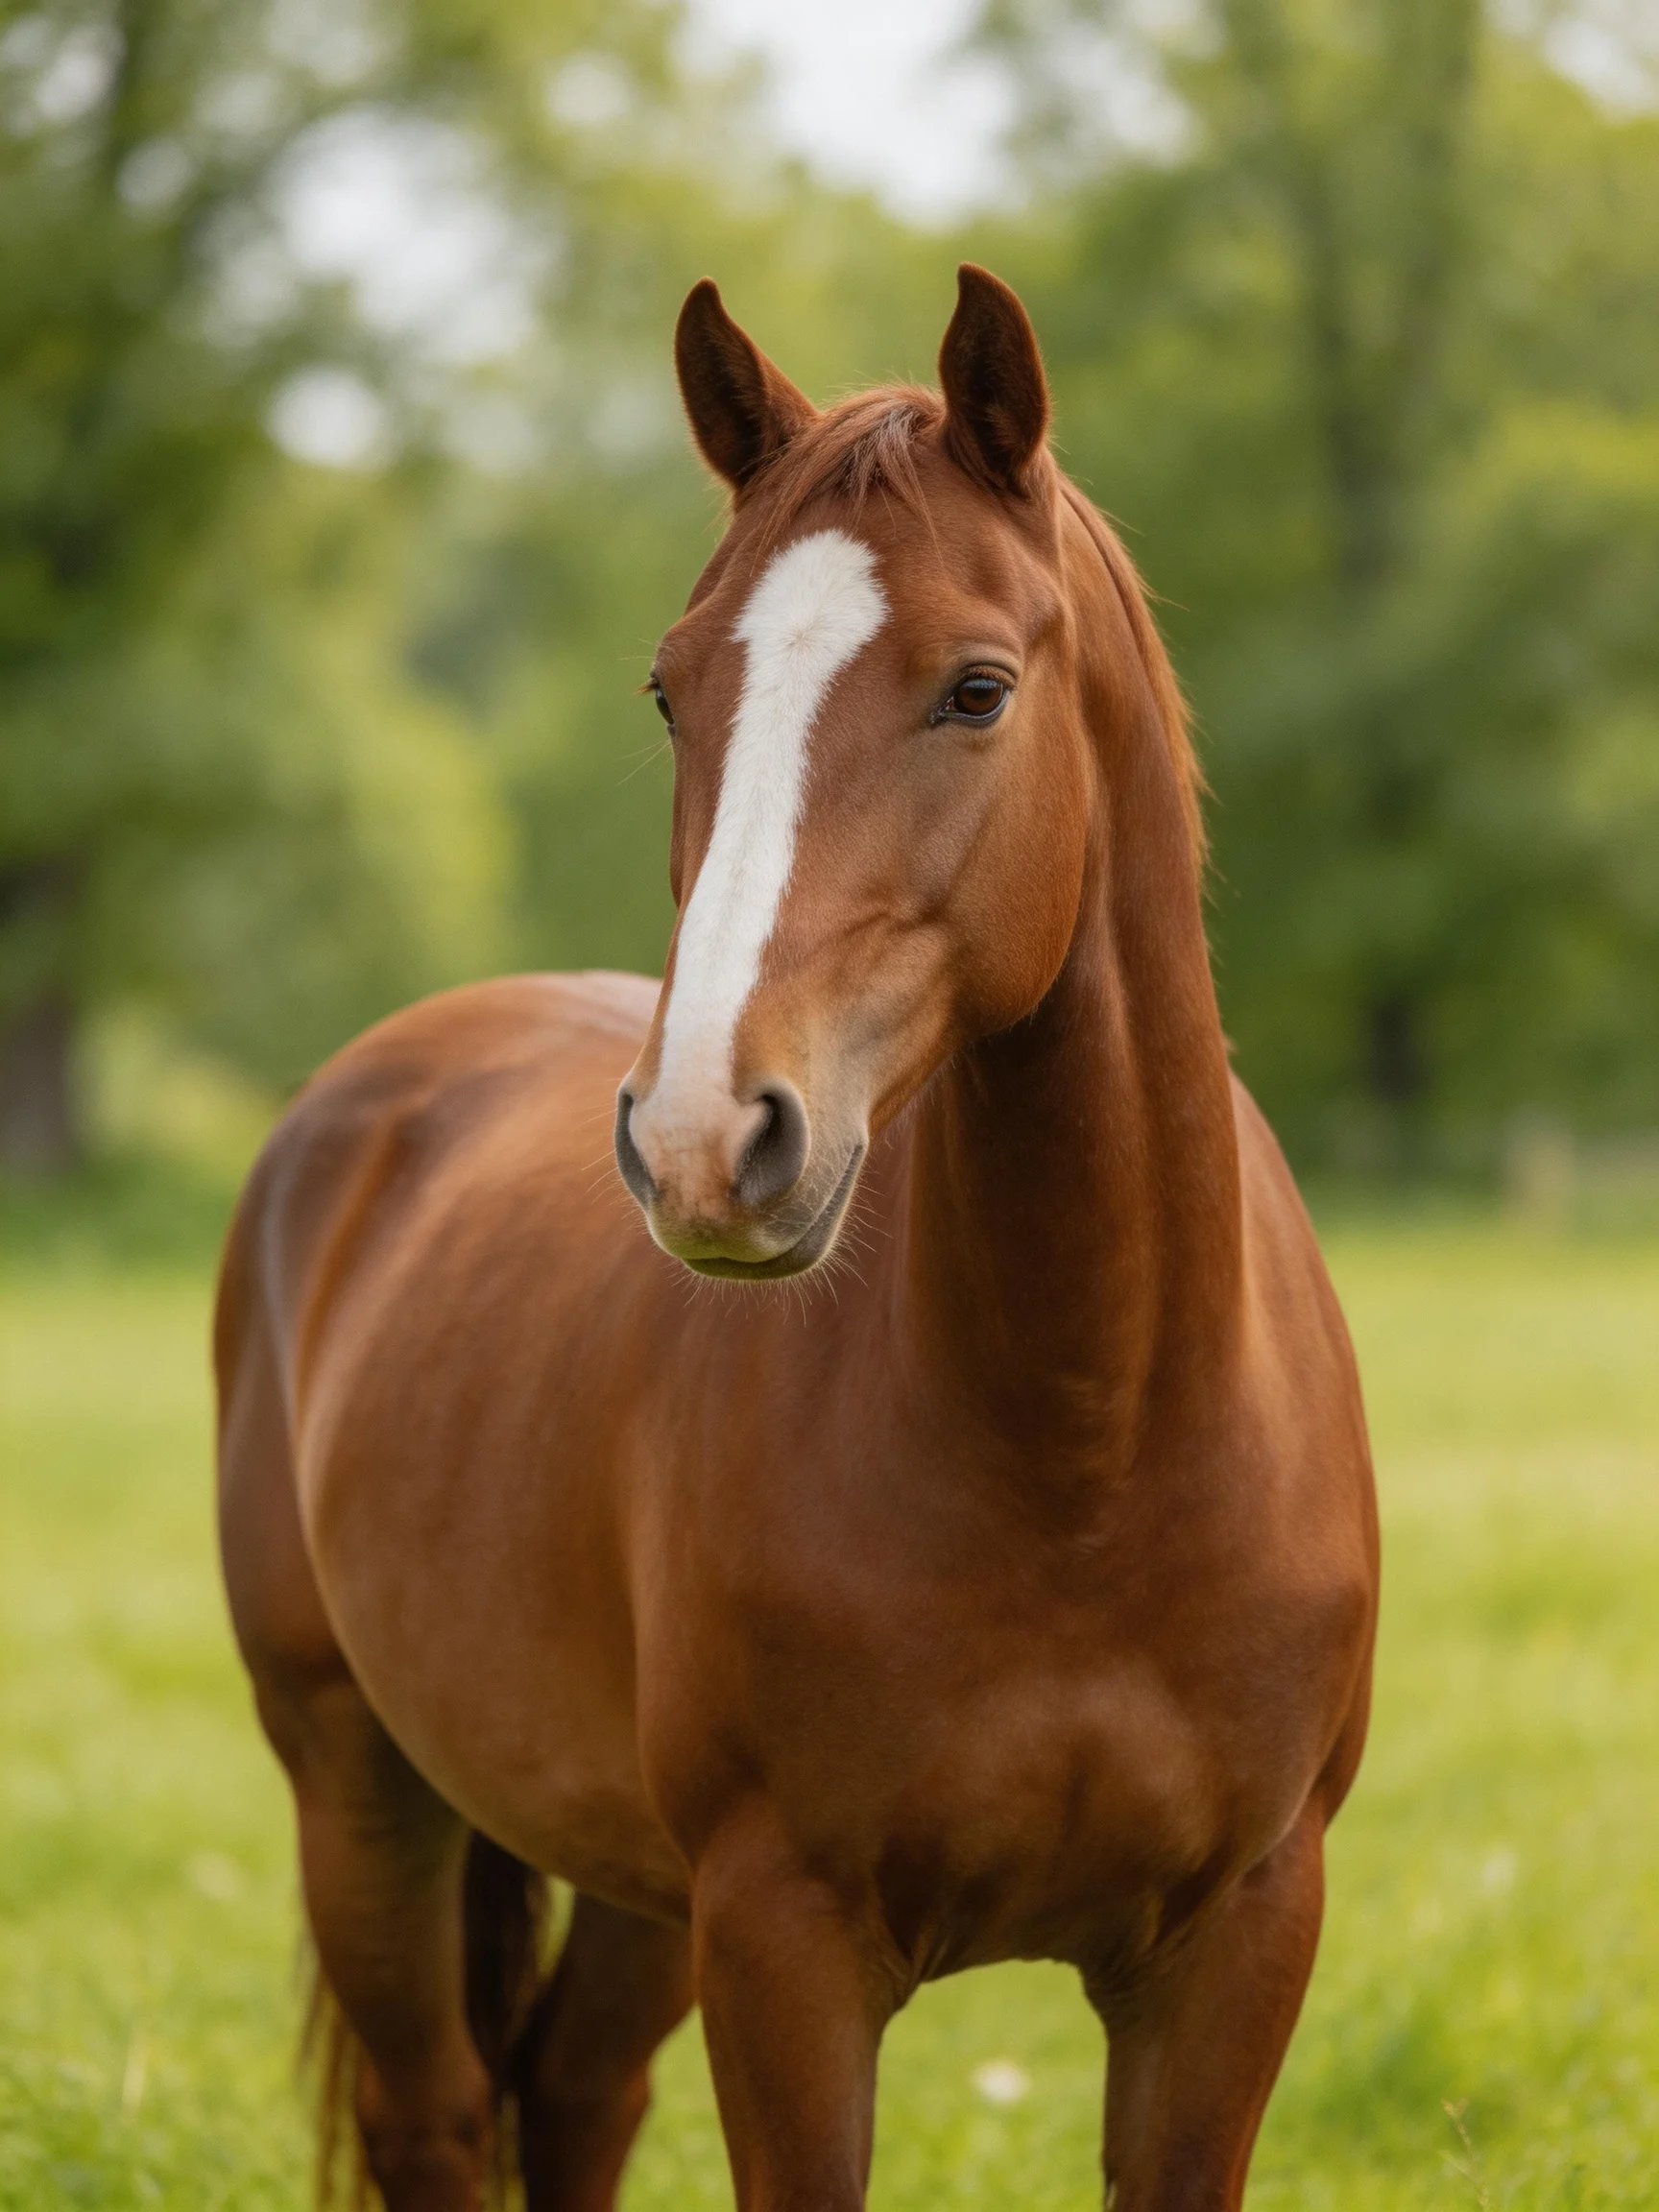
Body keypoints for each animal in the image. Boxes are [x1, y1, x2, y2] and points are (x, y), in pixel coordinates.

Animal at [215, 264, 1378, 2212]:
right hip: (357, 1789)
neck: (1092, 1447)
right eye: (672, 693)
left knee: (572, 2093)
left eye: (977, 689)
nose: (703, 1138)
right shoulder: (786, 1944)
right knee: (439, 2112)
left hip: (621, 1881)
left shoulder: (1233, 1943)